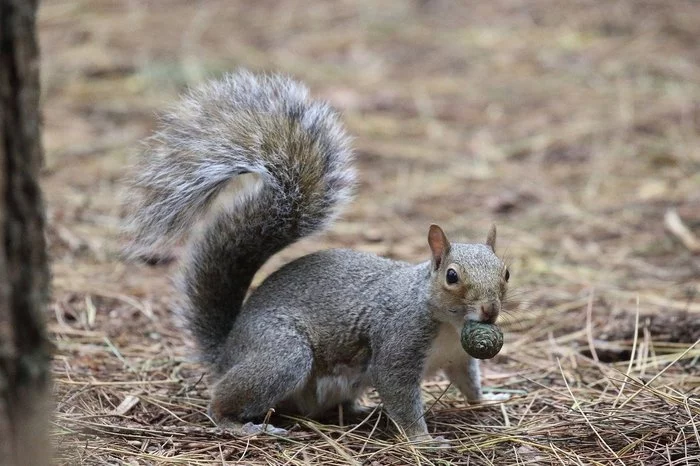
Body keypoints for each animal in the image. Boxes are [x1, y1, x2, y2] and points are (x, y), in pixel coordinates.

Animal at [124, 70, 508, 444]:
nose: (490, 311)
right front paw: (423, 440)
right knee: (222, 398)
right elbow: (398, 391)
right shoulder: (399, 341)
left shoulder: (459, 358)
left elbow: (469, 385)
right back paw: (241, 425)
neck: (448, 323)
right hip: (282, 355)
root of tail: (228, 350)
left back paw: (360, 412)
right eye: (452, 276)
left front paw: (491, 398)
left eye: (505, 273)